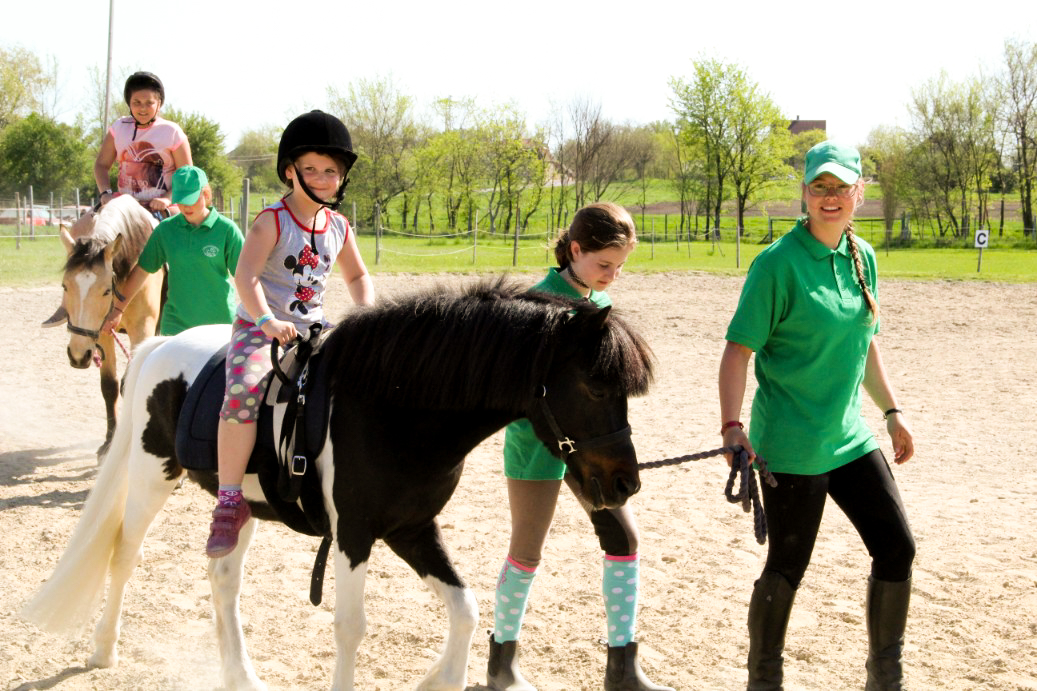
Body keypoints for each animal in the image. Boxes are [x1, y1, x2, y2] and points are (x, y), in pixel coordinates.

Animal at [21, 279, 655, 690]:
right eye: (597, 387)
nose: (626, 481)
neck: (393, 407)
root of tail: (161, 346)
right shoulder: (353, 533)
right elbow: (351, 627)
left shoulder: (411, 529)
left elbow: (466, 608)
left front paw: (439, 679)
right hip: (153, 476)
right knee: (123, 554)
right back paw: (104, 648)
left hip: (238, 503)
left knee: (223, 580)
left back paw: (240, 676)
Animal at [58, 194, 164, 456]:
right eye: (65, 286)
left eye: (106, 290)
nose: (78, 355)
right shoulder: (102, 332)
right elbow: (110, 385)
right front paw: (108, 442)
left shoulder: (143, 328)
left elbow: (131, 381)